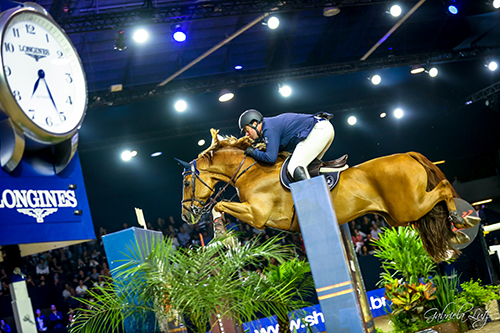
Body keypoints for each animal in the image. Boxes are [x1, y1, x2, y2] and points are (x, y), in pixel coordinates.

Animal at [182, 128, 478, 260]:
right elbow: (220, 205)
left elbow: (220, 204)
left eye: (185, 182)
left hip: (407, 208)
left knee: (443, 188)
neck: (252, 170)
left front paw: (223, 236)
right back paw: (459, 230)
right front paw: (223, 237)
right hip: (397, 215)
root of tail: (407, 154)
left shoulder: (257, 215)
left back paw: (463, 220)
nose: (186, 215)